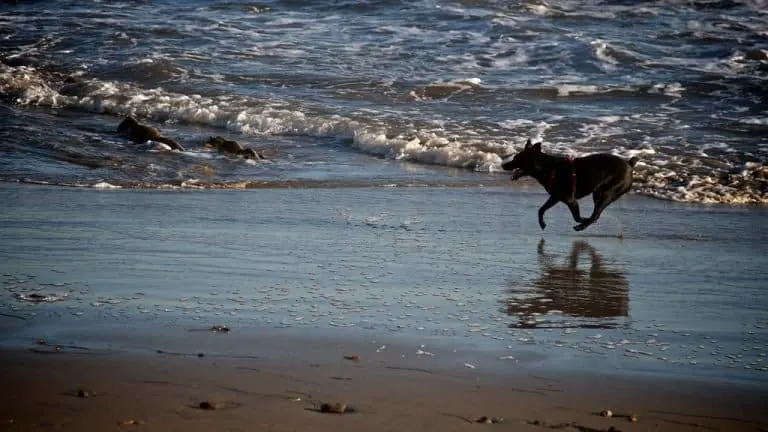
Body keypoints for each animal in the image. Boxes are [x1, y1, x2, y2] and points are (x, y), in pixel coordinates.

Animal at [500, 140, 640, 231]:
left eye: (516, 159)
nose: (503, 165)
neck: (548, 168)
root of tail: (630, 164)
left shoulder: (570, 200)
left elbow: (577, 217)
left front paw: (582, 220)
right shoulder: (556, 197)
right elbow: (541, 209)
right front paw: (542, 224)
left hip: (609, 192)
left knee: (595, 216)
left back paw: (581, 227)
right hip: (598, 193)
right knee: (595, 214)